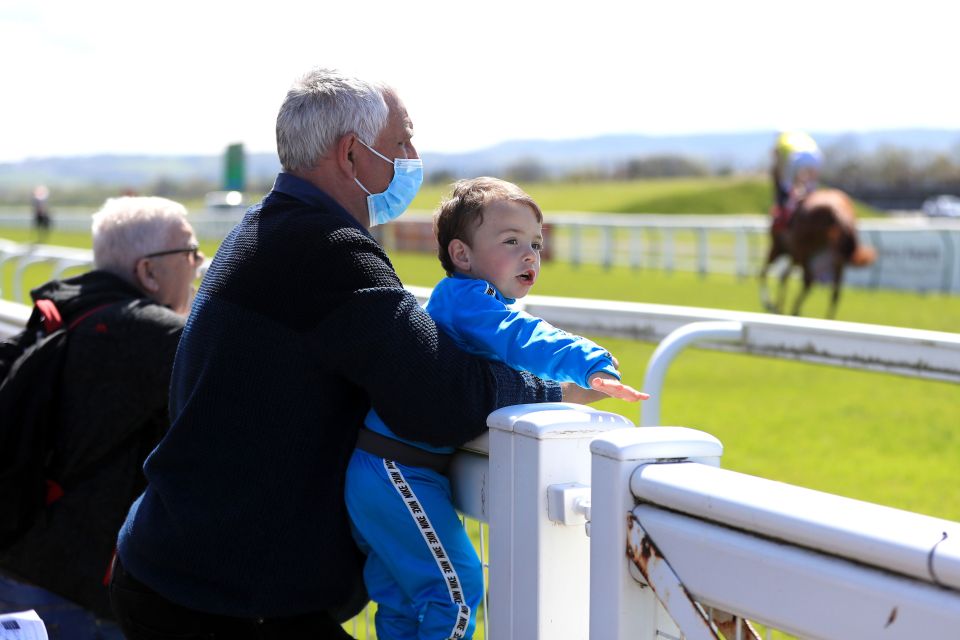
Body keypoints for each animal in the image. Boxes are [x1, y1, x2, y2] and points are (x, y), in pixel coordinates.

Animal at [760, 190, 872, 320]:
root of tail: (835, 211)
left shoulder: (782, 249)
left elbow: (772, 275)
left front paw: (773, 305)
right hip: (833, 259)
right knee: (834, 291)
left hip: (802, 253)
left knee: (799, 279)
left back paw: (789, 309)